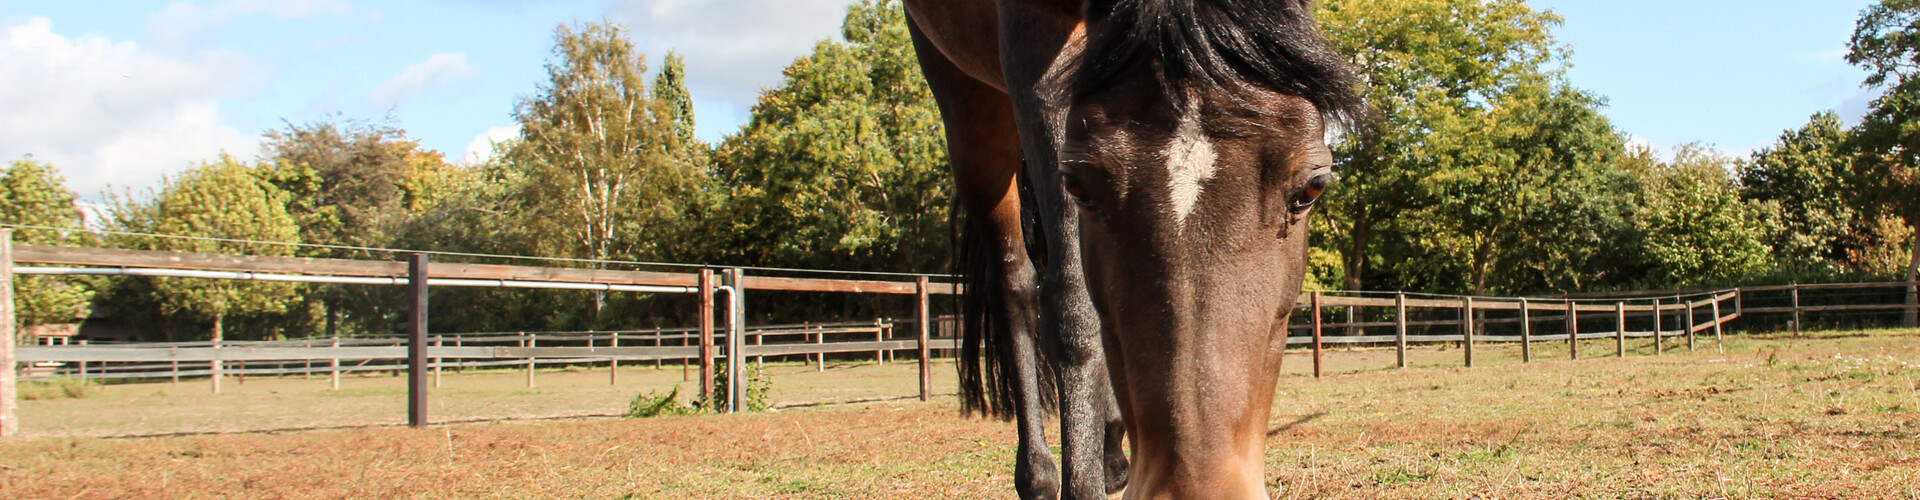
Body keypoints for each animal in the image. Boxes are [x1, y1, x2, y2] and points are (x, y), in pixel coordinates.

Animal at [902, 0, 1367, 496]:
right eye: (1076, 184)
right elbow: (1071, 307)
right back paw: (1040, 475)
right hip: (968, 110)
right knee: (1015, 286)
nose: (1195, 486)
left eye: (1313, 187)